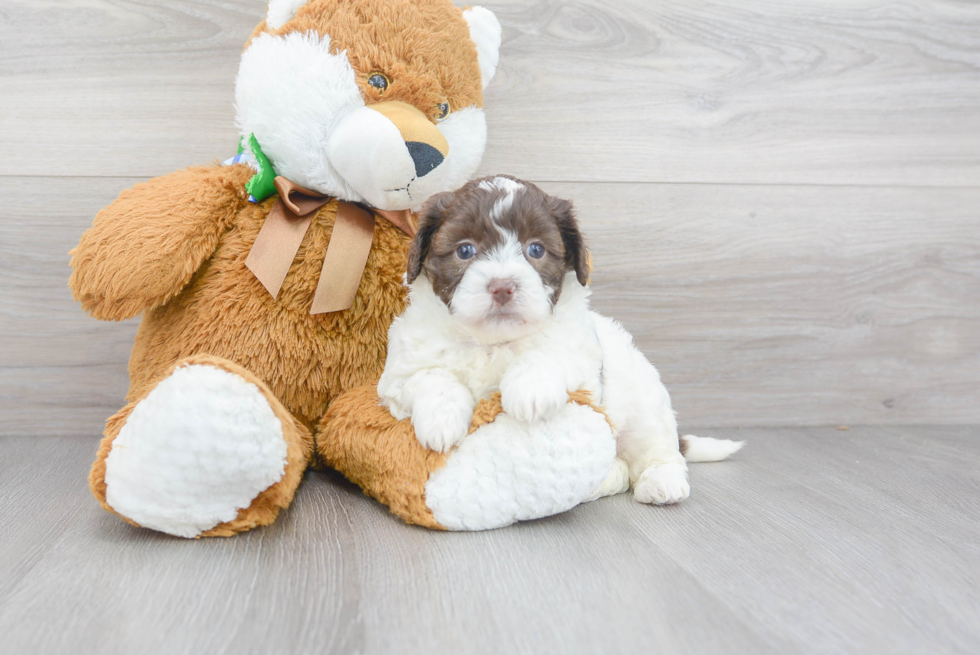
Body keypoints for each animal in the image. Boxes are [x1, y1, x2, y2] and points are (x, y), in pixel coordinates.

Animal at [378, 177, 744, 510]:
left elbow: (549, 353)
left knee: (656, 449)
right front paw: (441, 420)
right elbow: (430, 376)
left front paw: (529, 392)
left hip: (646, 406)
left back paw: (661, 482)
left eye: (536, 249)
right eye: (464, 250)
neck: (493, 342)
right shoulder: (398, 374)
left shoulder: (581, 354)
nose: (502, 287)